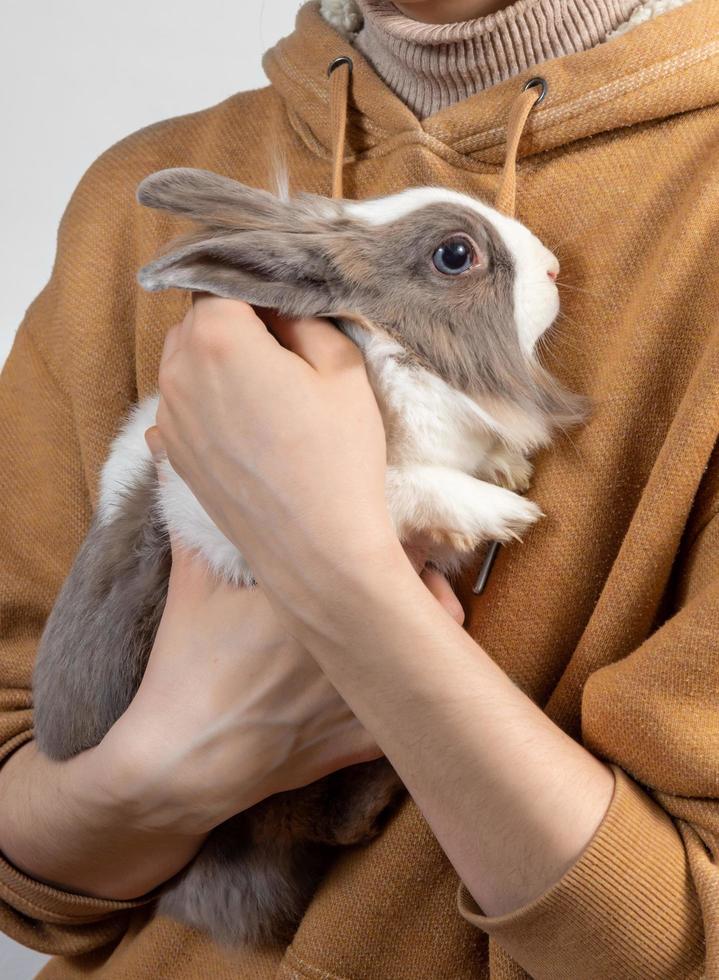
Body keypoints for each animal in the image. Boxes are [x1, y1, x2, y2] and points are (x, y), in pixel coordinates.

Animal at [31, 168, 588, 948]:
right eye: (455, 255)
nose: (554, 268)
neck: (393, 354)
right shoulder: (230, 519)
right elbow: (399, 488)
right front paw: (504, 512)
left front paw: (508, 470)